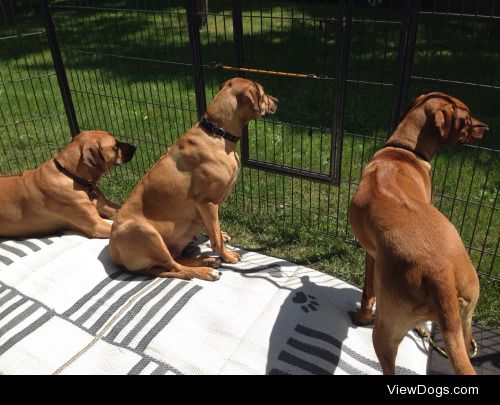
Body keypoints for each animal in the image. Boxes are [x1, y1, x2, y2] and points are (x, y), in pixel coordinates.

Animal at [108, 78, 278, 280]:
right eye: (263, 92)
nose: (277, 101)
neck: (217, 132)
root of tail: (115, 254)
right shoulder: (207, 202)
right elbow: (216, 239)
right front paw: (227, 255)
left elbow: (215, 231)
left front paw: (222, 237)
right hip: (146, 233)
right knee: (176, 267)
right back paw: (207, 270)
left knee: (172, 264)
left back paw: (206, 260)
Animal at [350, 93, 486, 374]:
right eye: (467, 118)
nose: (486, 128)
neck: (403, 150)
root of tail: (440, 273)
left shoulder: (371, 254)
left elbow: (367, 291)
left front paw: (361, 317)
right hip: (465, 321)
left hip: (387, 330)